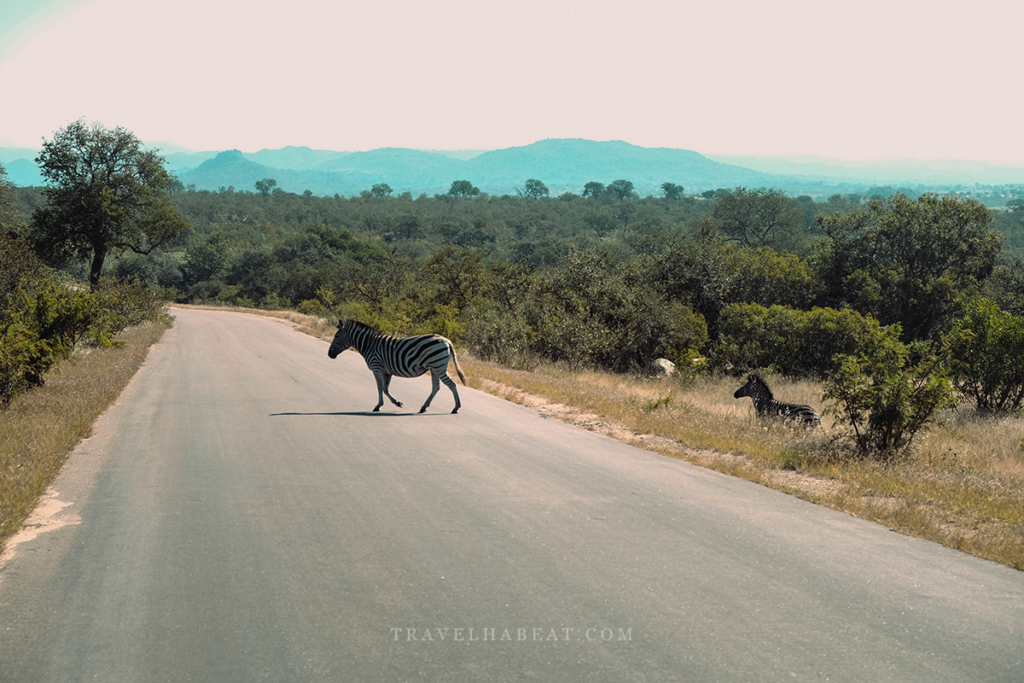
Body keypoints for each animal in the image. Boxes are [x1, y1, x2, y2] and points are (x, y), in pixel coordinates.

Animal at [328, 319, 466, 414]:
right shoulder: (387, 371)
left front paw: (378, 406)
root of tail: (447, 341)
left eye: (336, 336)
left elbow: (380, 388)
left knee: (452, 384)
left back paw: (456, 407)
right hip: (435, 369)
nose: (329, 355)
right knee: (436, 387)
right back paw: (423, 407)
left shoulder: (377, 368)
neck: (369, 345)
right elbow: (385, 389)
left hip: (438, 367)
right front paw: (397, 403)